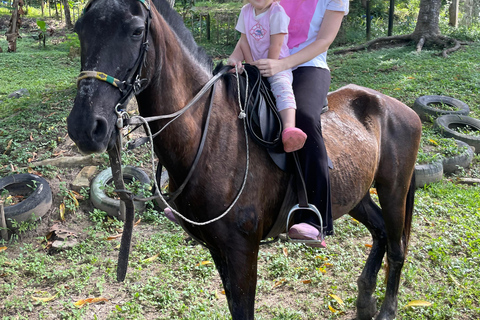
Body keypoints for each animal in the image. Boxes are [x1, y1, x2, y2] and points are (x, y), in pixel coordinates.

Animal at [66, 0, 420, 320]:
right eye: (80, 30)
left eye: (136, 31)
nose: (85, 126)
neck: (211, 135)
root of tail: (397, 107)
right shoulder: (218, 248)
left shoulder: (242, 251)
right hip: (355, 194)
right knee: (380, 232)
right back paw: (365, 302)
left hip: (393, 189)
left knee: (397, 247)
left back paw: (386, 310)